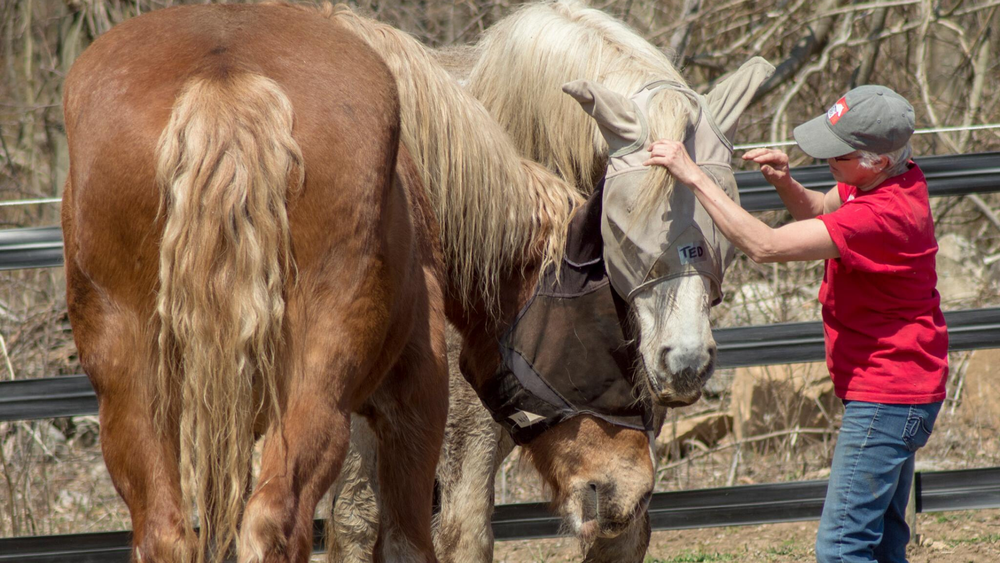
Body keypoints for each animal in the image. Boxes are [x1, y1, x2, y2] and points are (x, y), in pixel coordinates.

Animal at [61, 3, 449, 562]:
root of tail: (225, 79)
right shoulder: (418, 389)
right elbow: (407, 540)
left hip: (132, 379)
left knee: (168, 531)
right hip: (319, 377)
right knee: (275, 519)